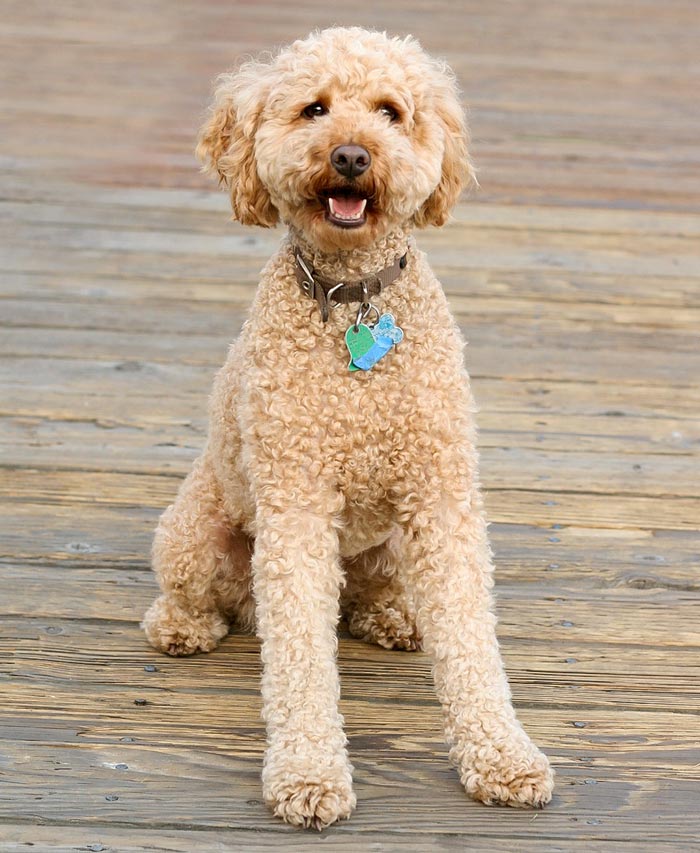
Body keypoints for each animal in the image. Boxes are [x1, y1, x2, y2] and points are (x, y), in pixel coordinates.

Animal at [144, 25, 552, 824]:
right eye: (315, 108)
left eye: (391, 112)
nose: (353, 156)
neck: (353, 294)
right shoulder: (296, 507)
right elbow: (300, 656)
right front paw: (308, 774)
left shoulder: (442, 498)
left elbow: (471, 639)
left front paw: (502, 754)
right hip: (193, 536)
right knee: (200, 598)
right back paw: (183, 626)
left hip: (391, 545)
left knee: (370, 594)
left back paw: (393, 617)